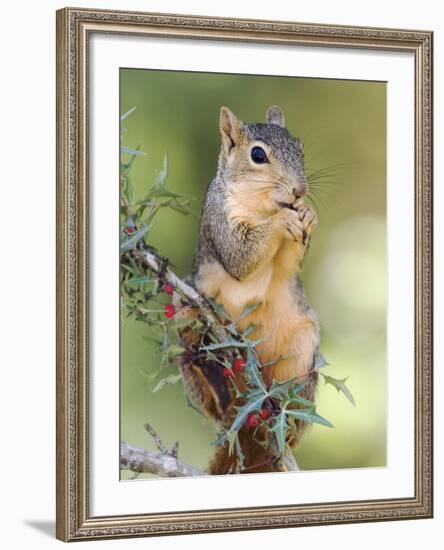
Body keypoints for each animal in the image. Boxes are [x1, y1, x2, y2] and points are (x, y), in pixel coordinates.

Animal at [177, 105, 320, 476]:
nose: (300, 190)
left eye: (301, 149)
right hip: (185, 312)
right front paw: (282, 222)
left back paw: (285, 420)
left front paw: (308, 213)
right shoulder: (220, 219)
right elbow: (241, 257)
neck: (263, 205)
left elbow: (287, 266)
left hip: (302, 348)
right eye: (258, 155)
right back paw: (216, 385)